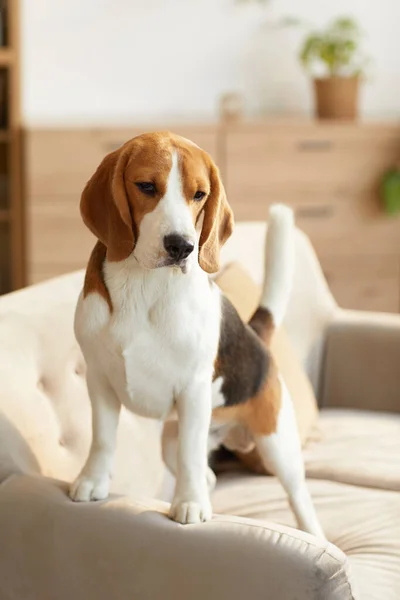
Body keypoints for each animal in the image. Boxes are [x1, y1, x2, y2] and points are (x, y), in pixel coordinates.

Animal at [69, 131, 324, 540]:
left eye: (200, 194)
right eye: (146, 186)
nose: (182, 246)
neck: (144, 284)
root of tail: (255, 334)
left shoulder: (192, 390)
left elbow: (190, 455)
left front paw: (188, 505)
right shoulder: (99, 379)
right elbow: (103, 438)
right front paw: (93, 482)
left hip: (276, 444)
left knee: (298, 495)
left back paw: (311, 530)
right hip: (170, 440)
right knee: (208, 474)